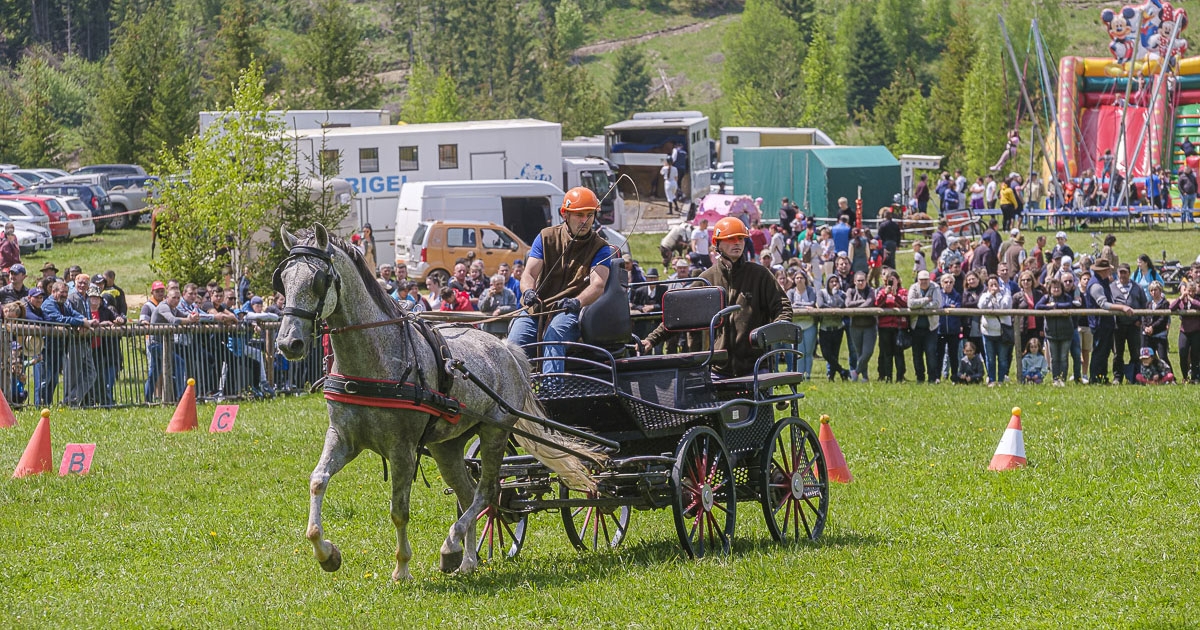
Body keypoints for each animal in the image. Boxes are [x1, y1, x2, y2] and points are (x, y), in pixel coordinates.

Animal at [274, 224, 597, 580]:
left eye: (318, 280)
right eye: (283, 279)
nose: (288, 343)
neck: (378, 359)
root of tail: (506, 348)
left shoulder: (401, 448)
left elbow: (399, 510)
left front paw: (402, 568)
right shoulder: (343, 438)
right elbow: (318, 481)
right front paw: (326, 553)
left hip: (495, 432)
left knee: (486, 492)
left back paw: (451, 547)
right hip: (447, 446)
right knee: (469, 493)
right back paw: (467, 560)